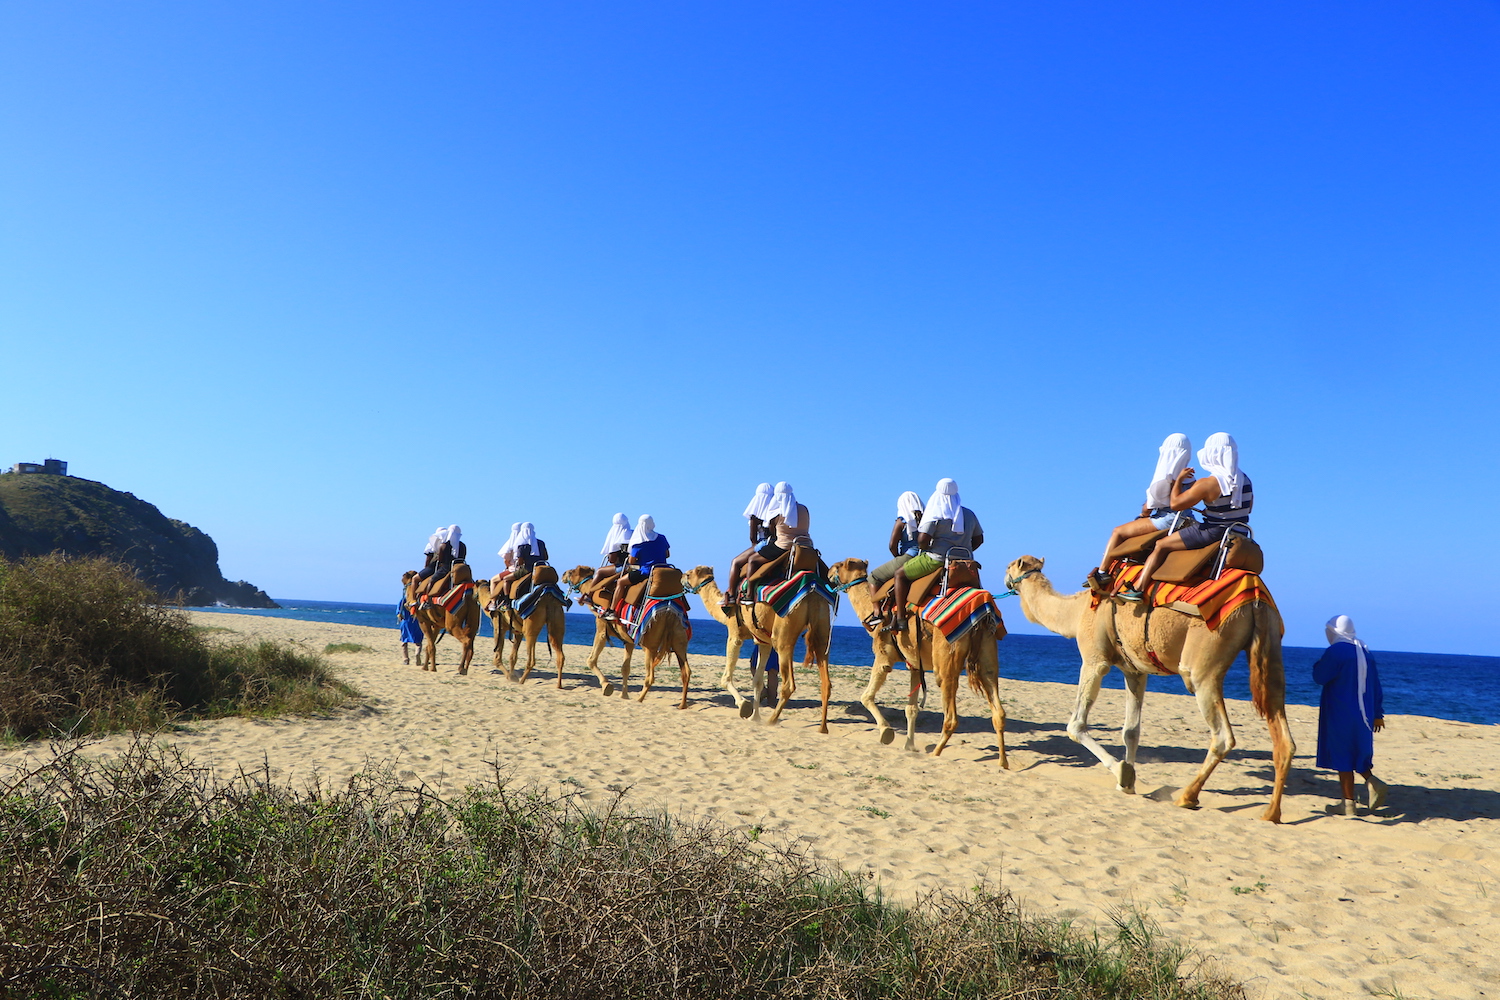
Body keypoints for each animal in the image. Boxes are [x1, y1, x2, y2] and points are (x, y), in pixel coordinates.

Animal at [1003, 555, 1295, 822]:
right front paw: (1128, 782)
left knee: (1222, 735)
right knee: (1283, 733)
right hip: (1271, 642)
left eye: (1009, 566)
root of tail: (1255, 597)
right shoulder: (1135, 670)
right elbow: (1131, 731)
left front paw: (1121, 774)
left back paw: (1187, 797)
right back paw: (1271, 813)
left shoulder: (1095, 659)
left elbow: (1076, 725)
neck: (1077, 612)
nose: (1005, 579)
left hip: (1205, 659)